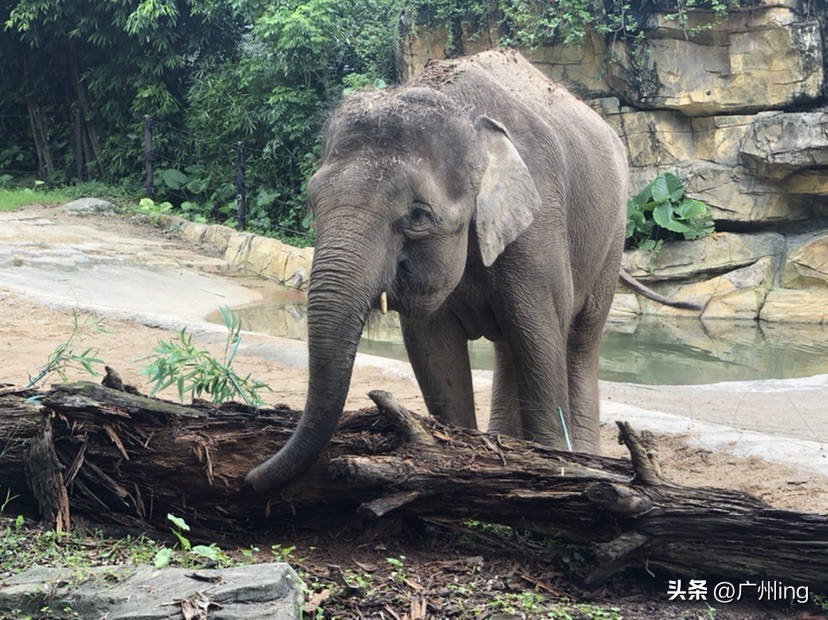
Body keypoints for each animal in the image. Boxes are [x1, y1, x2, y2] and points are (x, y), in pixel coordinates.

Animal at [246, 49, 694, 492]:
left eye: (418, 215)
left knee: (579, 339)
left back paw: (581, 451)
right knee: (511, 345)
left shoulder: (540, 224)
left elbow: (543, 339)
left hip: (612, 236)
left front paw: (556, 463)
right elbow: (435, 353)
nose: (248, 482)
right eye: (312, 202)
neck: (466, 114)